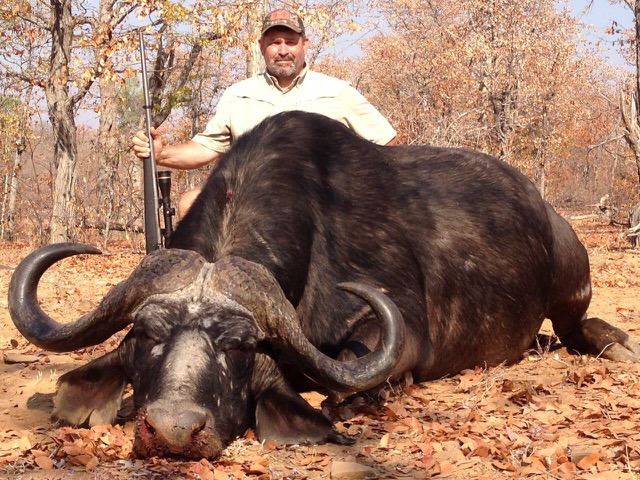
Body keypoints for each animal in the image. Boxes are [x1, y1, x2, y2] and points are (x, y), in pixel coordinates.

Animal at [9, 111, 640, 460]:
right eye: (145, 335)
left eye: (239, 347)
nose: (173, 430)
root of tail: (543, 211)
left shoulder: (394, 333)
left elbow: (350, 386)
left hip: (573, 281)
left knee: (576, 325)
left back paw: (615, 343)